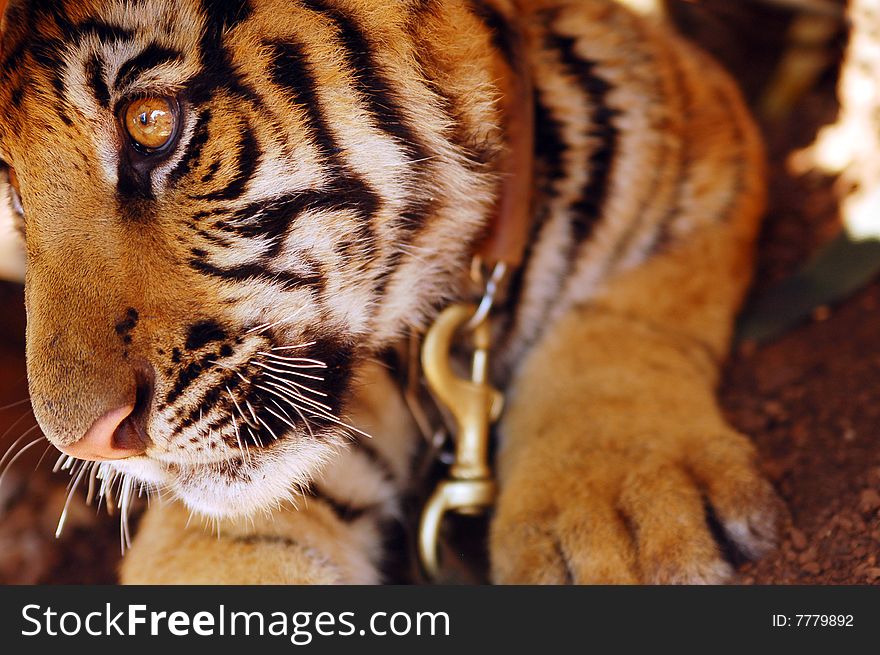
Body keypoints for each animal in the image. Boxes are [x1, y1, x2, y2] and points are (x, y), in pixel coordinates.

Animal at [0, 0, 784, 584]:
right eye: (11, 182)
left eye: (151, 123)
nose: (93, 444)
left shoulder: (690, 153)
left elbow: (615, 326)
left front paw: (620, 515)